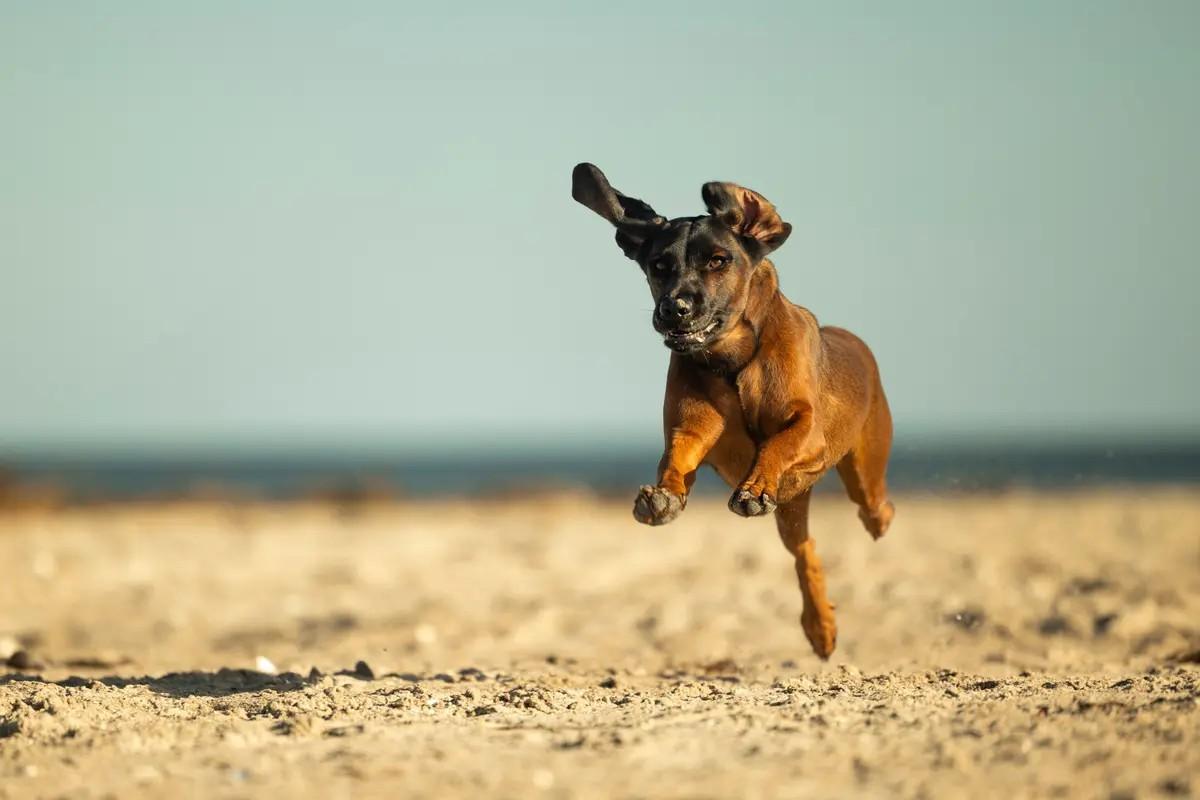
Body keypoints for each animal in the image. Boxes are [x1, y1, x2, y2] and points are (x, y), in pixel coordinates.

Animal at [568, 160, 892, 657]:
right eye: (659, 266)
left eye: (718, 260)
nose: (675, 308)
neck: (733, 360)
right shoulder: (690, 426)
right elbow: (677, 455)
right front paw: (664, 496)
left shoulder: (808, 429)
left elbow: (780, 443)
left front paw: (755, 486)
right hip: (793, 509)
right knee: (805, 551)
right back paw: (820, 625)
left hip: (864, 471)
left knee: (874, 508)